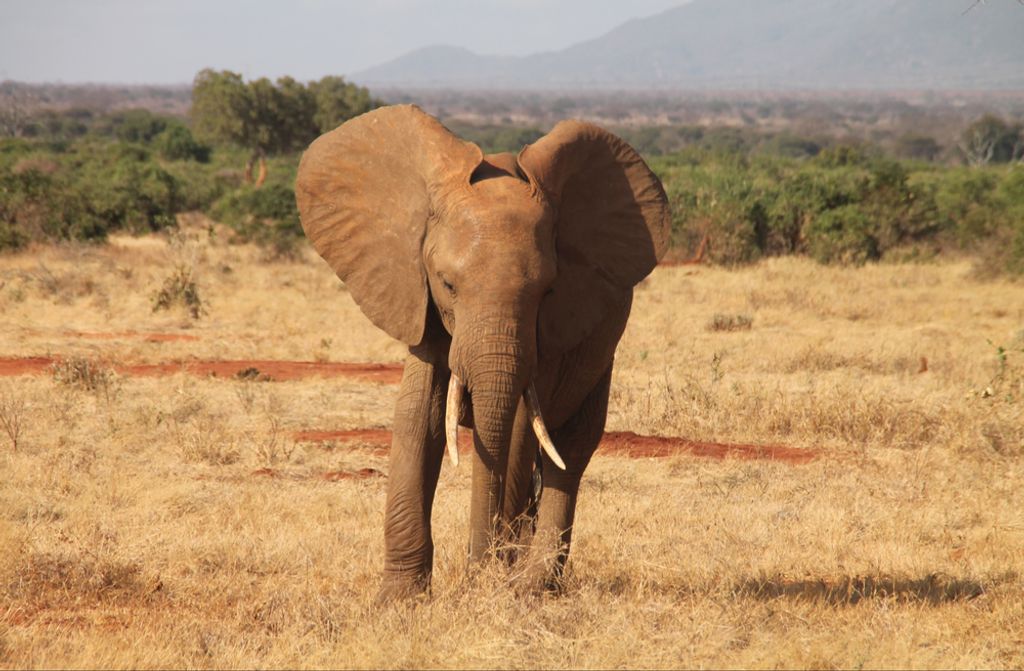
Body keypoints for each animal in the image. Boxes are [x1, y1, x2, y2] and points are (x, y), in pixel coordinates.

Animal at [295, 104, 670, 600]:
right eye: (447, 284)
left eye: (547, 291)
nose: (479, 569)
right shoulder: (419, 299)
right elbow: (418, 414)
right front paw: (400, 598)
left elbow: (517, 429)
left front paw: (492, 583)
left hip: (603, 351)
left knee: (569, 450)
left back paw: (533, 585)